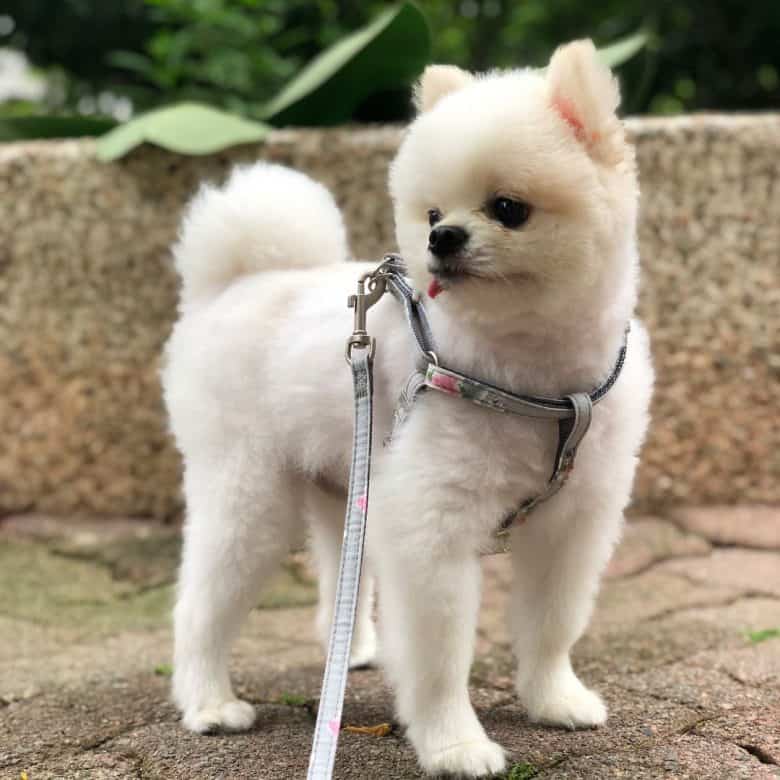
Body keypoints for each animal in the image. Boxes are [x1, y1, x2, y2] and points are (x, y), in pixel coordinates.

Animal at [163, 39, 652, 776]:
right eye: (431, 213)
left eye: (508, 207)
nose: (442, 239)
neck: (535, 374)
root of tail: (234, 283)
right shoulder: (433, 524)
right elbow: (440, 654)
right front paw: (455, 743)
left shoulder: (575, 521)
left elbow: (552, 623)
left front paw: (554, 699)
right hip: (250, 496)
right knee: (201, 605)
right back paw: (209, 703)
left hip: (349, 485)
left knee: (339, 577)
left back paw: (352, 650)